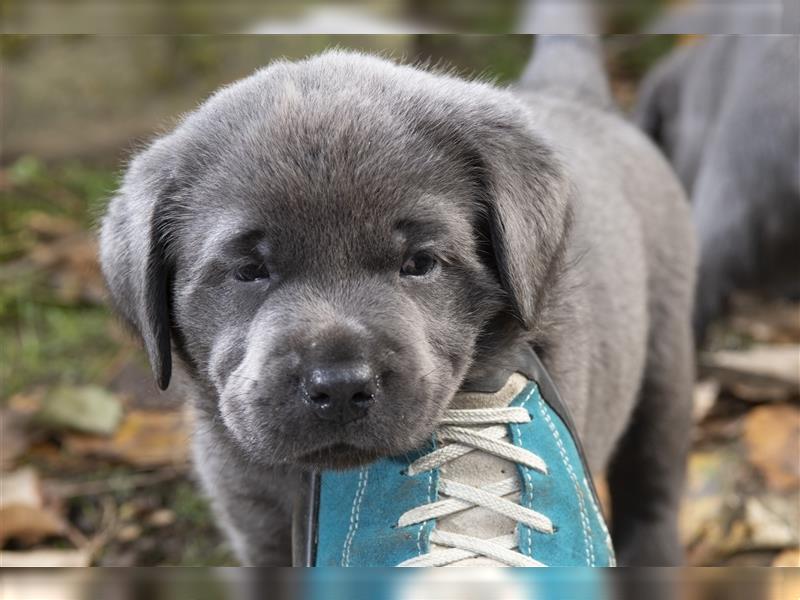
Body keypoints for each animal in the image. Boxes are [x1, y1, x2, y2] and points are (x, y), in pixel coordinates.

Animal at [100, 38, 696, 568]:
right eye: (249, 271)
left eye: (420, 262)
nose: (340, 387)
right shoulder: (255, 528)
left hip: (665, 365)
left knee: (654, 492)